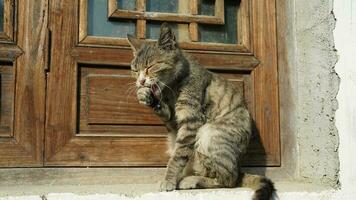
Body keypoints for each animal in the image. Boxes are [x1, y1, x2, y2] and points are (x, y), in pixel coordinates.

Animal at [127, 22, 276, 199]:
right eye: (135, 70)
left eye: (150, 66)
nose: (141, 81)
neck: (171, 88)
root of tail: (239, 168)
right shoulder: (174, 122)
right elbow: (168, 118)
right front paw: (146, 96)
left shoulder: (191, 122)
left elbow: (178, 156)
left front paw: (169, 180)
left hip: (208, 133)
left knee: (228, 180)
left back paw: (191, 180)